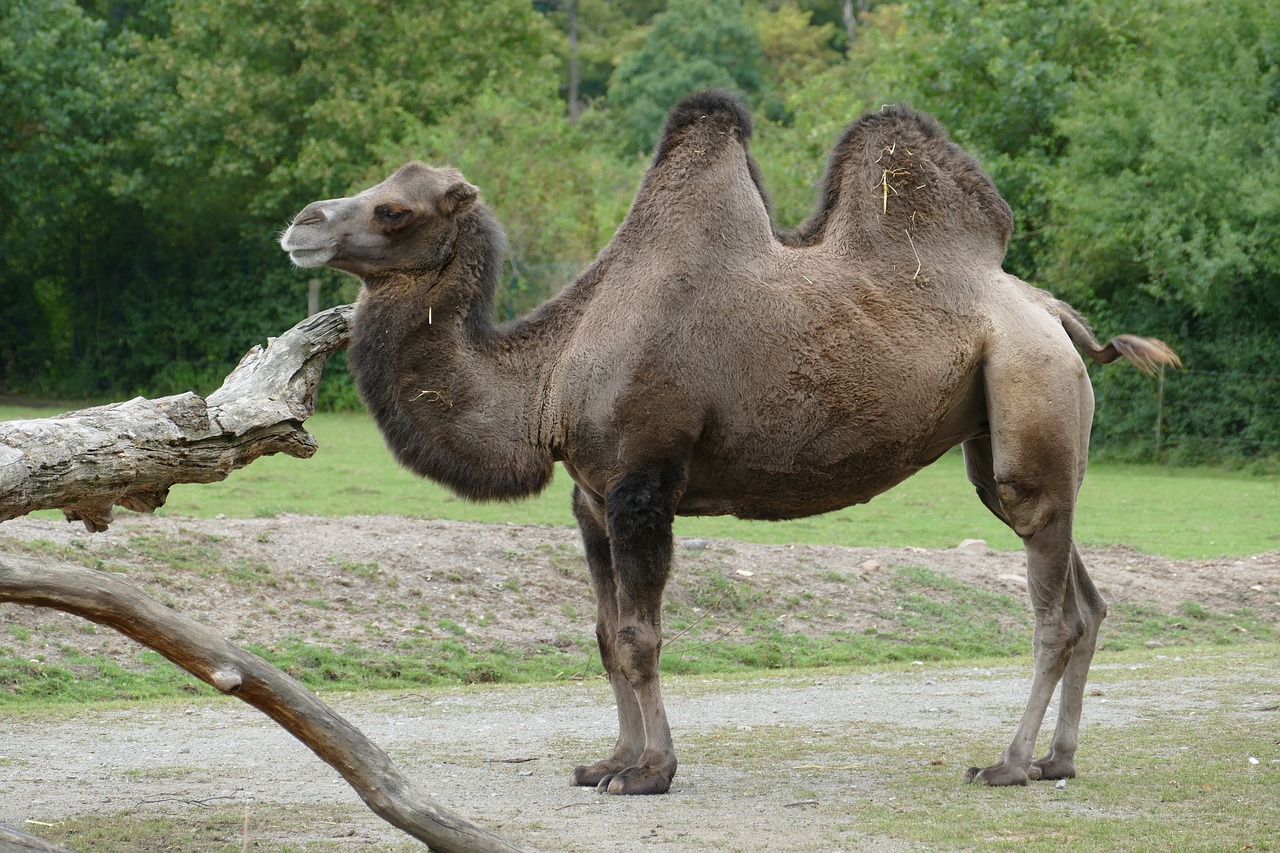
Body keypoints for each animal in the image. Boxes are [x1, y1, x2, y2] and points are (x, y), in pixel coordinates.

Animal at [280, 89, 1177, 794]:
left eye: (395, 208)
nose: (301, 223)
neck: (549, 374)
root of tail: (1058, 315)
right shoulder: (592, 496)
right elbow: (606, 635)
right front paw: (608, 760)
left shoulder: (645, 480)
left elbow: (640, 636)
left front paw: (649, 772)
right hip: (1004, 435)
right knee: (1082, 595)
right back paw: (1058, 759)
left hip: (1031, 391)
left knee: (1052, 608)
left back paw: (1009, 763)